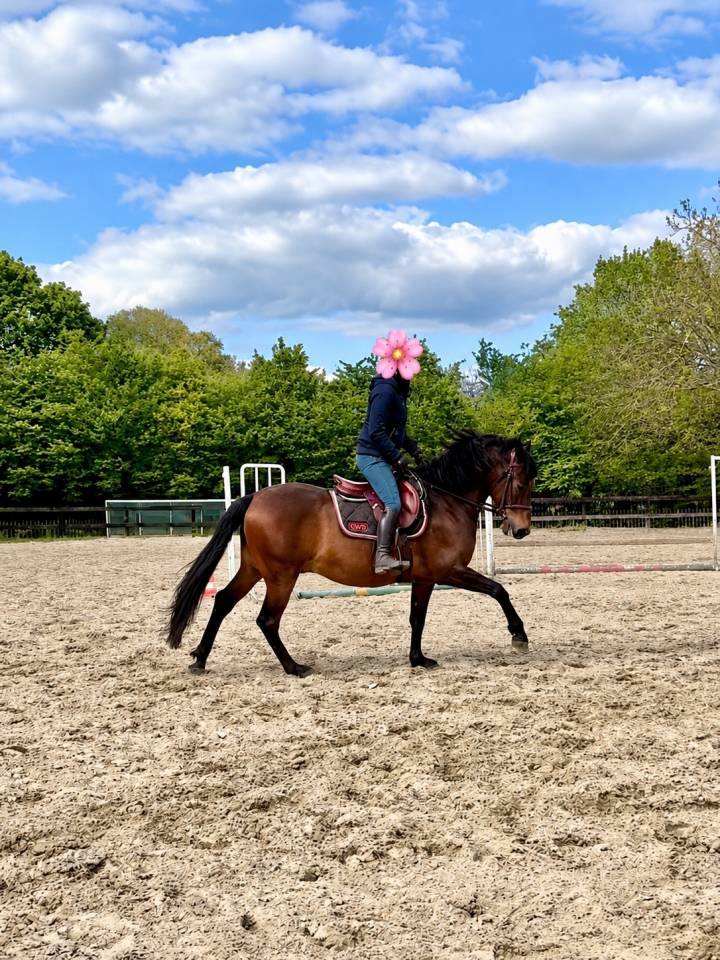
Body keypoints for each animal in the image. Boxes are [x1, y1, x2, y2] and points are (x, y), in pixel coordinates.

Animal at [167, 432, 537, 676]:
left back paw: (200, 658)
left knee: (223, 601)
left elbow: (417, 617)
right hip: (281, 577)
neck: (447, 501)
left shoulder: (424, 578)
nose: (521, 530)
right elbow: (498, 590)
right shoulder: (450, 570)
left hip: (254, 569)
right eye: (521, 482)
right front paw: (519, 635)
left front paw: (418, 659)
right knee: (267, 620)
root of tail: (255, 497)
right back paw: (294, 666)